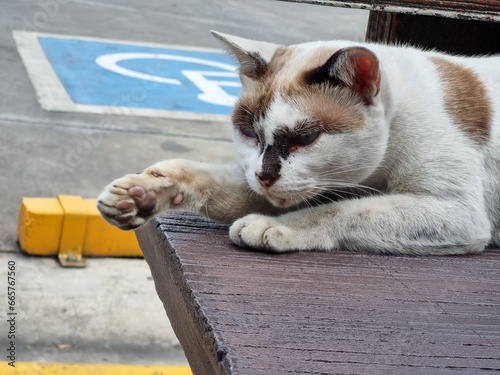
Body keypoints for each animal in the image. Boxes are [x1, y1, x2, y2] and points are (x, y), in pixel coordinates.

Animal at [96, 31, 500, 256]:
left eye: (305, 138)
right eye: (249, 133)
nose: (264, 177)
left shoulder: (457, 213)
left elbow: (344, 211)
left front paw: (276, 227)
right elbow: (202, 178)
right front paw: (140, 194)